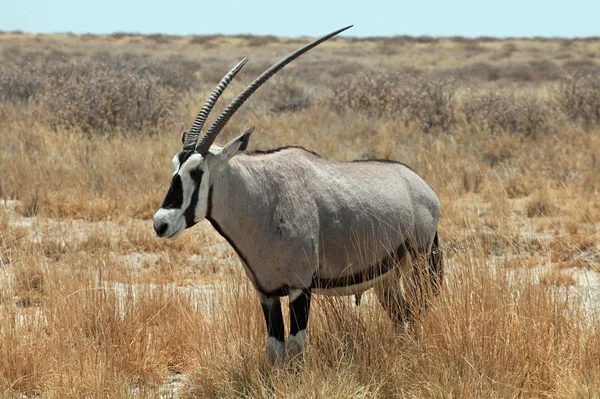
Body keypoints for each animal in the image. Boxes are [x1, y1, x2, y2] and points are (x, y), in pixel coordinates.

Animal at [152, 26, 442, 364]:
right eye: (175, 164)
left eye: (197, 170)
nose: (161, 223)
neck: (260, 197)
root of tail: (424, 188)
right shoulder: (266, 292)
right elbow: (275, 349)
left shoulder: (299, 288)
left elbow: (295, 348)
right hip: (387, 278)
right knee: (403, 316)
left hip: (419, 264)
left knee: (418, 311)